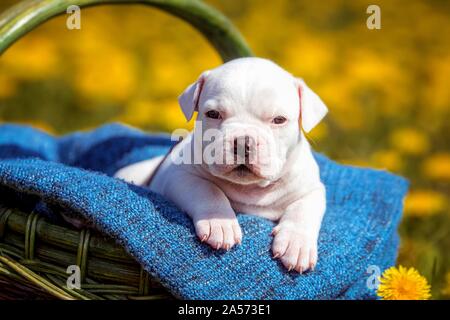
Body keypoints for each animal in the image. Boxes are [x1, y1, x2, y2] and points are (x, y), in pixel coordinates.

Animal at [114, 57, 326, 272]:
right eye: (213, 114)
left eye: (279, 120)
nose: (243, 142)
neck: (250, 188)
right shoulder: (179, 176)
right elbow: (208, 189)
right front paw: (220, 223)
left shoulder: (312, 189)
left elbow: (303, 210)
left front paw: (296, 243)